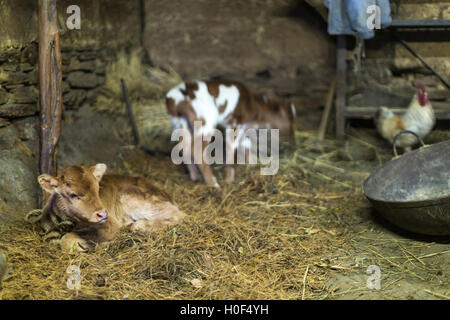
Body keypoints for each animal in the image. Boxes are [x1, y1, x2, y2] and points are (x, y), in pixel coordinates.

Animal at [37, 164, 186, 251]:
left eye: (98, 189)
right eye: (73, 194)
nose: (102, 214)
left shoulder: (111, 225)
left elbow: (67, 239)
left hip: (134, 198)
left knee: (179, 214)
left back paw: (138, 226)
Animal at [165, 79, 296, 188]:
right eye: (290, 118)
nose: (292, 135)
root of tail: (175, 97)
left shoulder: (244, 127)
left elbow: (245, 143)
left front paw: (252, 165)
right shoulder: (236, 123)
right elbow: (231, 148)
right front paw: (229, 179)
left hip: (180, 123)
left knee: (183, 148)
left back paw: (196, 177)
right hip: (206, 121)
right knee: (196, 150)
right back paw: (213, 184)